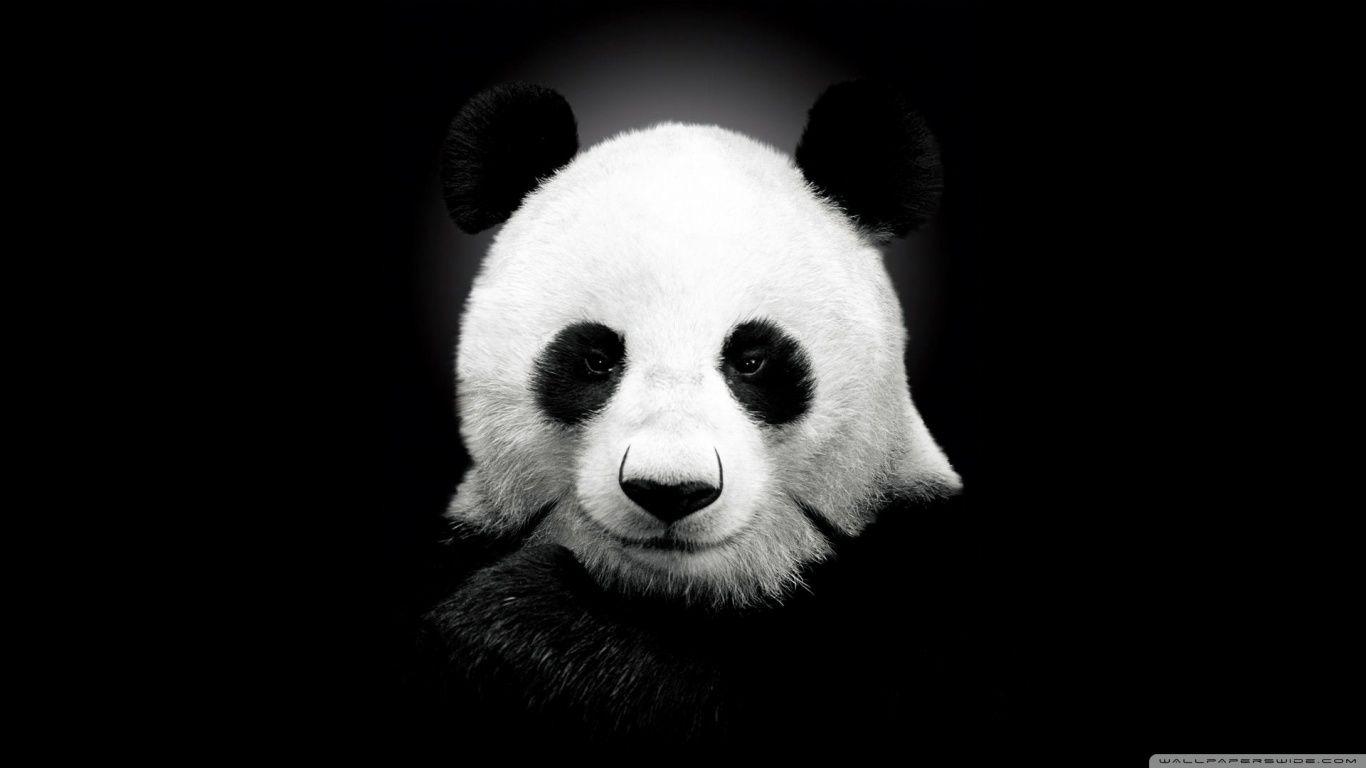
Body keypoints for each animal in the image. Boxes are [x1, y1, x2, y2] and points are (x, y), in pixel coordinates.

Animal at [413, 81, 999, 753]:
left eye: (752, 360)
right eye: (595, 359)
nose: (671, 491)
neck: (682, 596)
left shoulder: (919, 581)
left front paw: (520, 623)